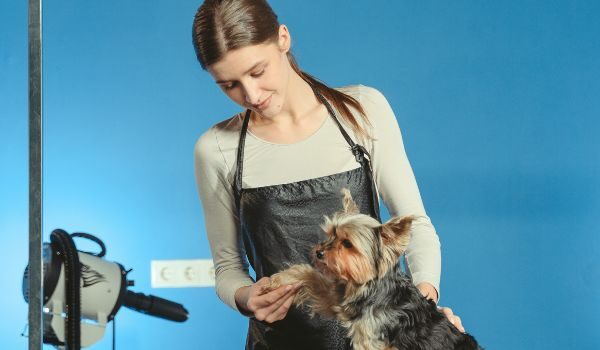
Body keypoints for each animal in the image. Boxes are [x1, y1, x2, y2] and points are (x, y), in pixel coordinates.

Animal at [264, 190, 482, 348]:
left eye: (347, 244)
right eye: (330, 235)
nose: (319, 252)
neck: (373, 288)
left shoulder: (370, 339)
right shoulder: (342, 300)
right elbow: (310, 275)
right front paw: (278, 281)